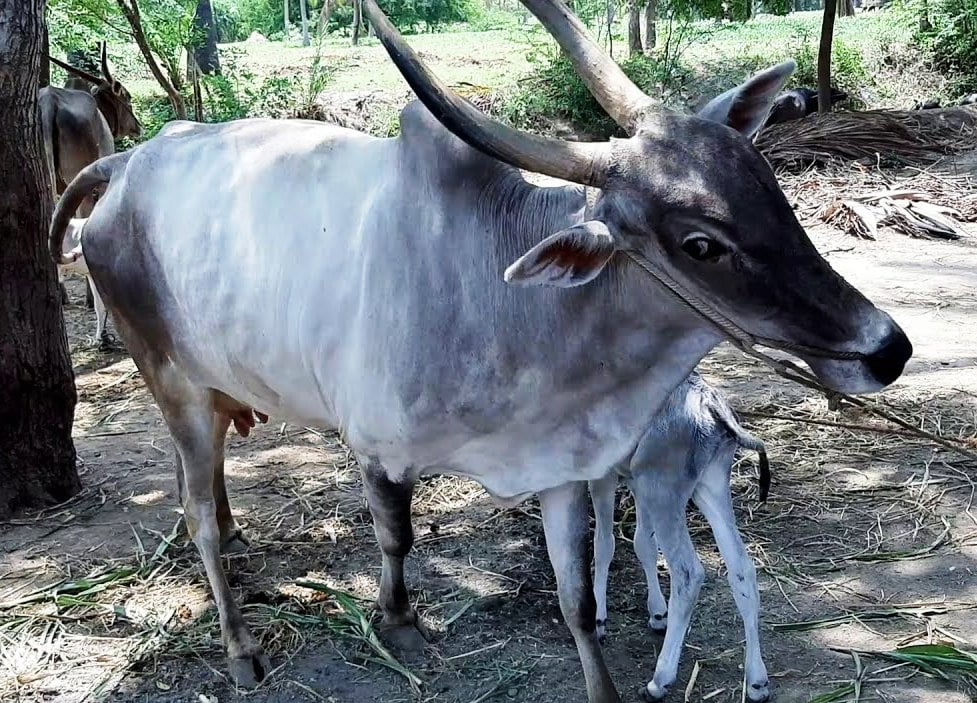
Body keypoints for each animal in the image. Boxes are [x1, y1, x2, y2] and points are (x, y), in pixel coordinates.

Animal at [588, 374, 772, 700]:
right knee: (742, 568)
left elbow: (604, 544)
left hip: (663, 485)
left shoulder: (604, 474)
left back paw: (659, 680)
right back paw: (757, 681)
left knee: (689, 572)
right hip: (708, 483)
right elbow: (643, 543)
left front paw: (598, 618)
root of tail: (711, 405)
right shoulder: (634, 479)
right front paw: (657, 613)